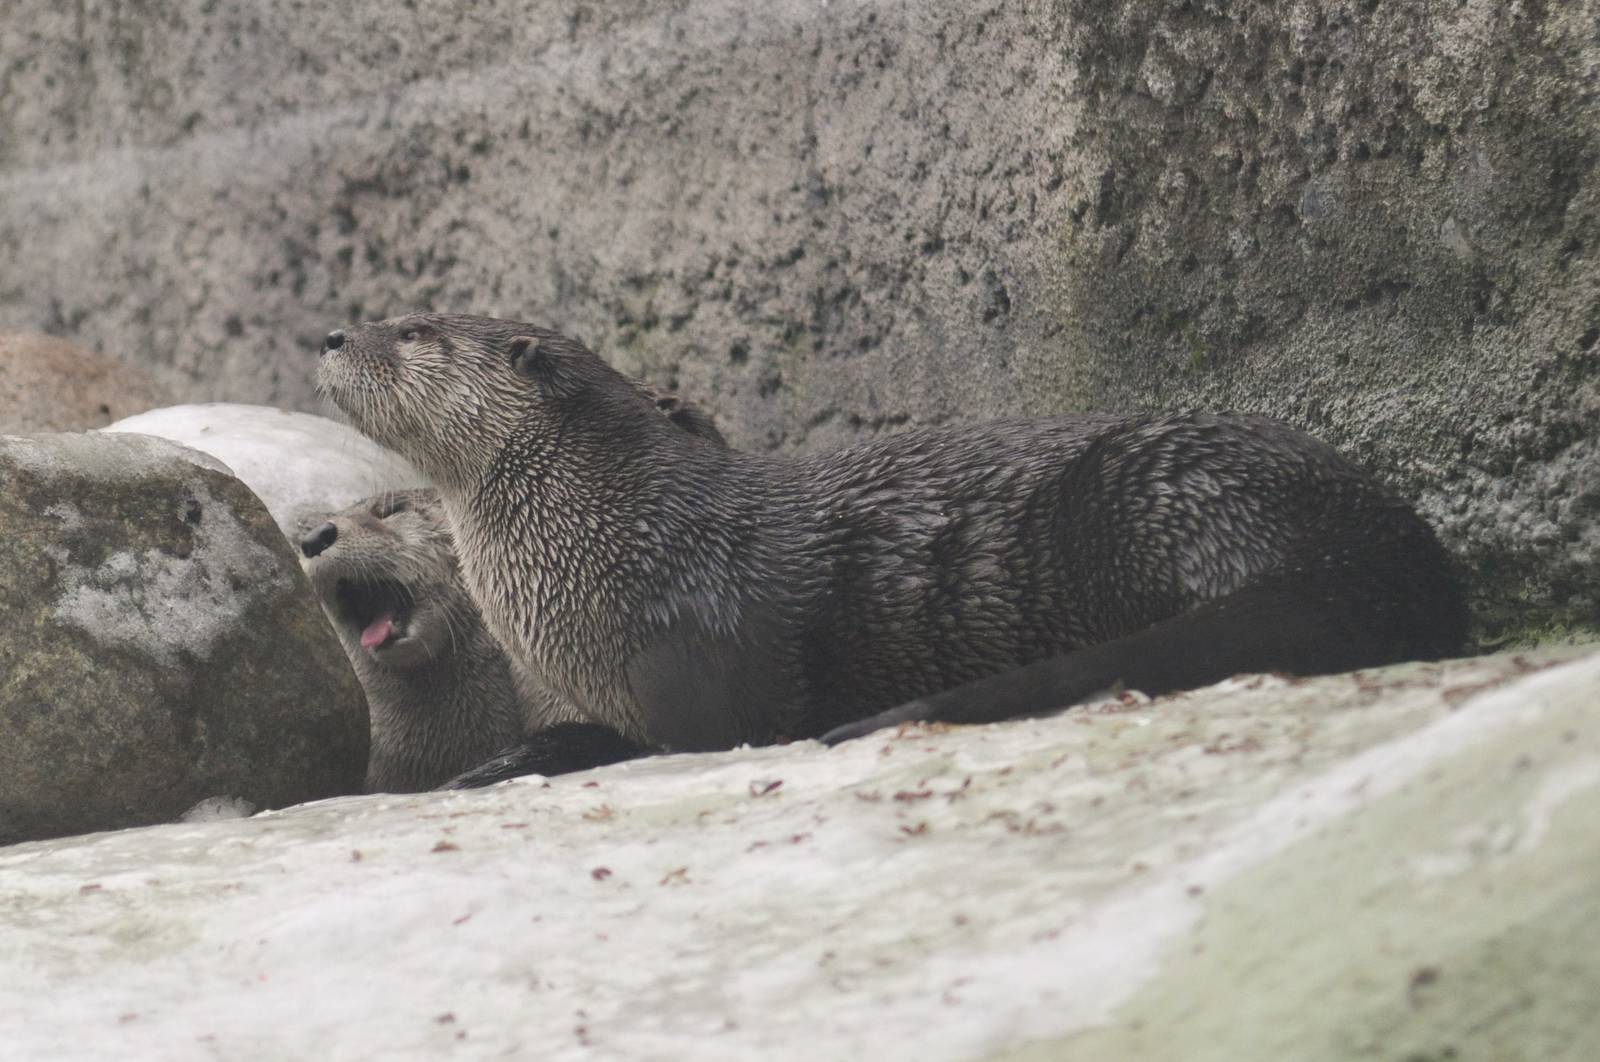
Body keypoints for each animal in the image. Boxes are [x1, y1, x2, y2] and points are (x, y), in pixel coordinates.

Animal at [317, 313, 1468, 753]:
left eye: (412, 330)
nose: (329, 335)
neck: (617, 535)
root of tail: (1370, 535)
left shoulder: (690, 661)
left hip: (1145, 502)